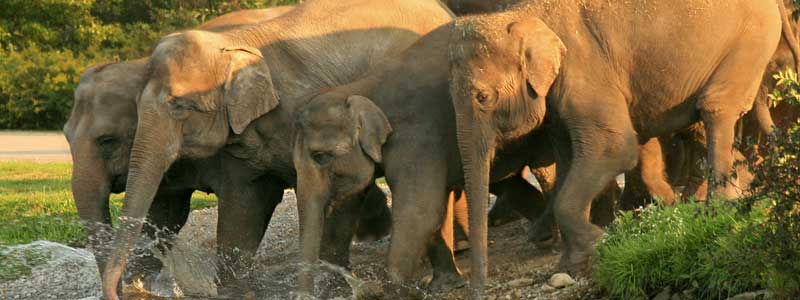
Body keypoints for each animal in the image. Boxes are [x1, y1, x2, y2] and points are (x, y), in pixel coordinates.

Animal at [64, 4, 296, 290]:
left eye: (107, 140)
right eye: (66, 137)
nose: (115, 290)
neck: (142, 62)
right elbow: (164, 215)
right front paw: (139, 284)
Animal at [98, 1, 456, 298]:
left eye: (179, 105)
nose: (123, 290)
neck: (235, 43)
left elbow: (331, 193)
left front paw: (334, 288)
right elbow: (246, 202)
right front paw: (236, 291)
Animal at [446, 0, 792, 296]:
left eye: (483, 97)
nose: (476, 291)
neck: (523, 14)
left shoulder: (583, 73)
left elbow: (614, 148)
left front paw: (597, 244)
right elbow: (568, 159)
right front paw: (571, 263)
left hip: (749, 42)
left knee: (715, 108)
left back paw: (717, 209)